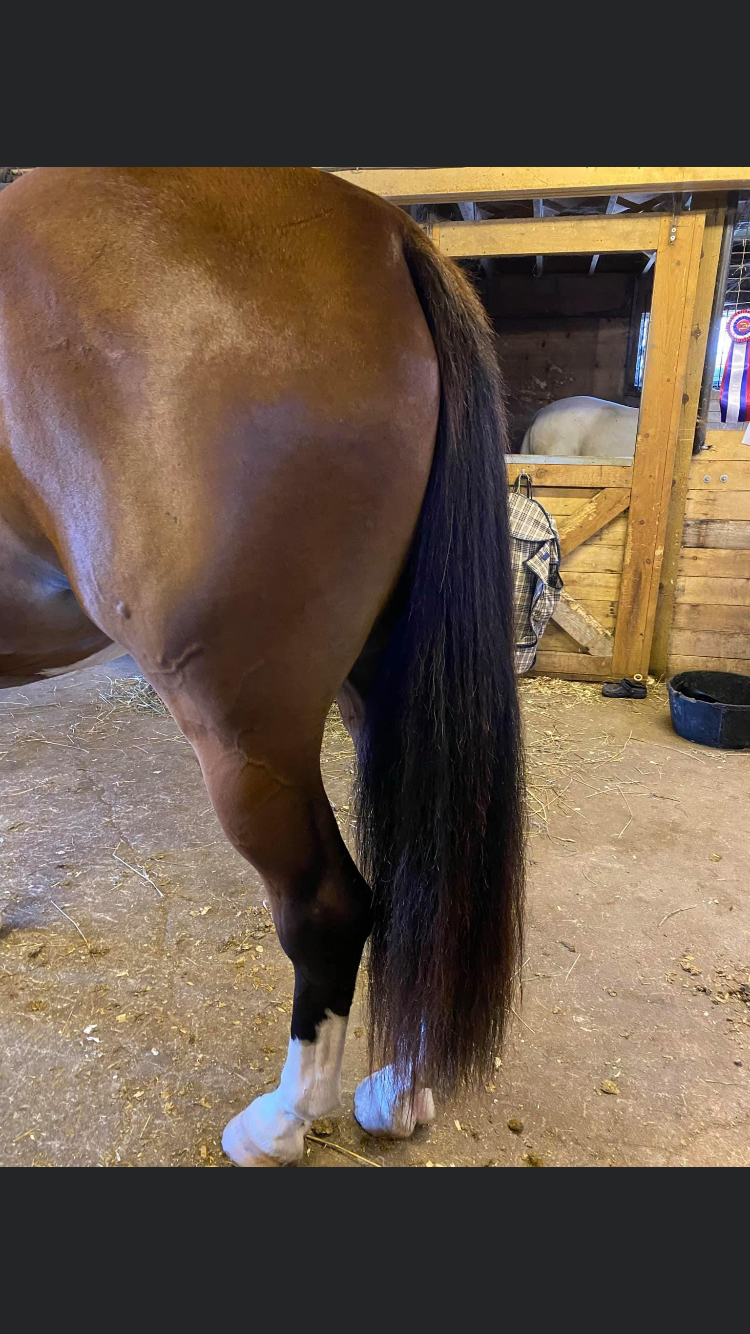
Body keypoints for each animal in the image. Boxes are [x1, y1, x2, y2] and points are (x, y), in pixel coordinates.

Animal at [0, 167, 524, 1167]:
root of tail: (386, 231)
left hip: (246, 733)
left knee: (329, 907)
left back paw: (281, 1122)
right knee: (421, 889)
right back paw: (397, 1094)